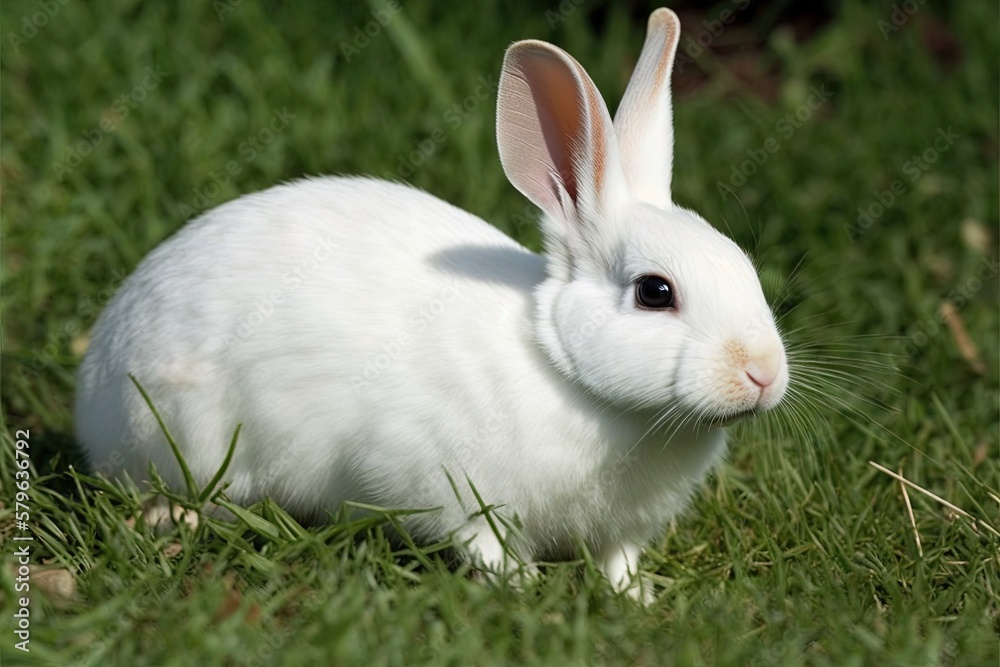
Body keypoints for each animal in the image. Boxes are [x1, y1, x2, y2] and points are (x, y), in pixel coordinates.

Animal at [74, 7, 788, 596]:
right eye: (654, 292)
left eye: (744, 267)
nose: (763, 374)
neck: (563, 371)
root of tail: (93, 387)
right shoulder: (455, 492)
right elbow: (486, 546)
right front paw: (524, 587)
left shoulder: (622, 529)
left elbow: (619, 560)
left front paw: (632, 598)